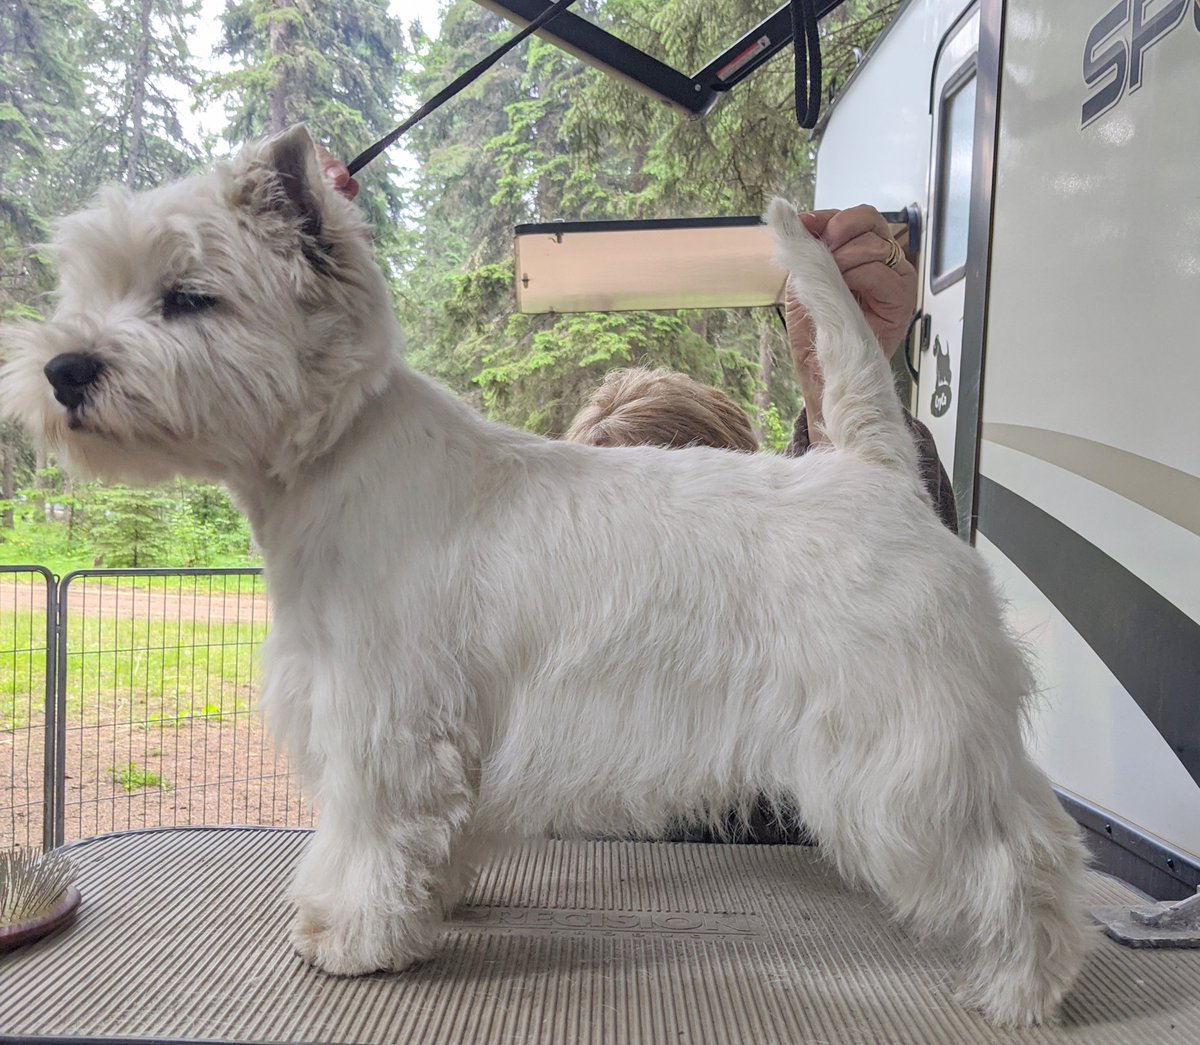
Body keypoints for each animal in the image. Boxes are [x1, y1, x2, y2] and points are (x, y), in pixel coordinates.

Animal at [0, 124, 1089, 1031]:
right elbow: (417, 839)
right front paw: (412, 906)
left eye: (189, 295)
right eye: (85, 290)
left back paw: (1021, 988)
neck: (330, 459)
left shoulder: (388, 717)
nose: (65, 370)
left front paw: (351, 935)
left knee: (1020, 856)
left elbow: (371, 832)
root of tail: (877, 471)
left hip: (902, 742)